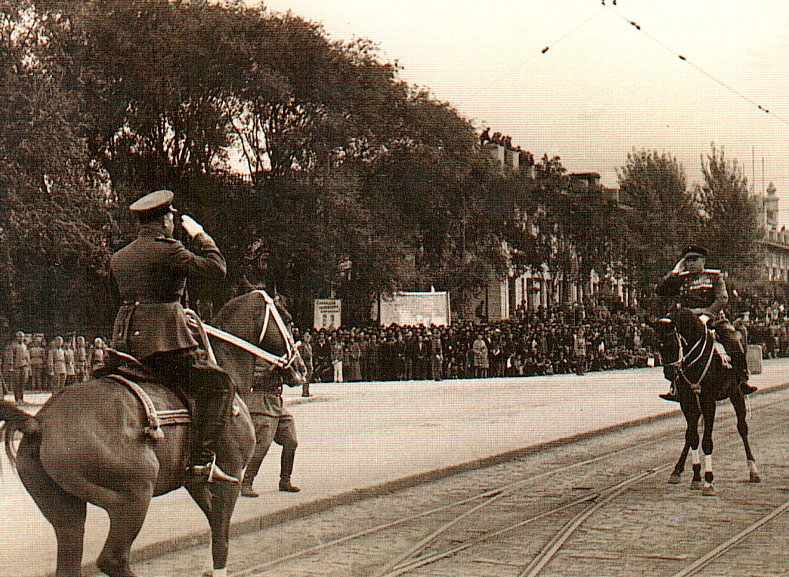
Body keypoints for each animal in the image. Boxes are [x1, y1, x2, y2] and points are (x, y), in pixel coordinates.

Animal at [0, 290, 306, 576]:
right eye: (288, 319)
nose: (302, 367)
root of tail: (41, 421)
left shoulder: (195, 481)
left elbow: (216, 525)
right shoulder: (230, 476)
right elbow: (221, 540)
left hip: (67, 513)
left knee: (70, 564)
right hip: (133, 499)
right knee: (113, 560)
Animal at [652, 306, 756, 496]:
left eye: (673, 343)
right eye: (659, 345)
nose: (670, 373)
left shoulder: (709, 403)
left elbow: (707, 441)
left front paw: (708, 481)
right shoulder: (687, 402)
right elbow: (693, 438)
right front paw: (696, 477)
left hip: (736, 394)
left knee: (742, 428)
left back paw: (753, 470)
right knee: (689, 434)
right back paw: (676, 471)